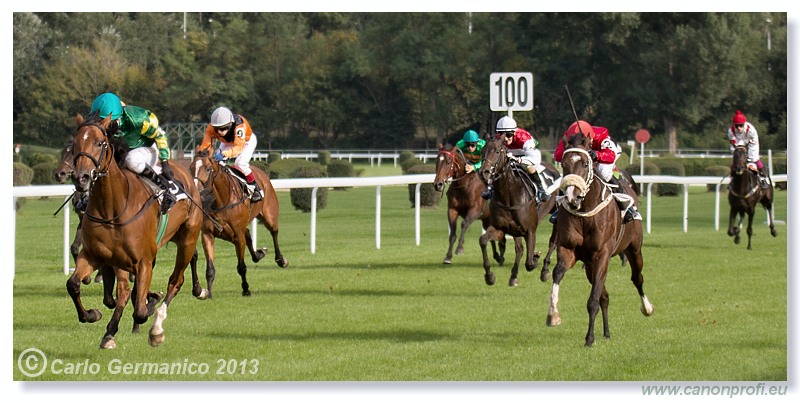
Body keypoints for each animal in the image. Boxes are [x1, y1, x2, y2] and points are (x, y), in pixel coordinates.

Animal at [67, 113, 206, 350]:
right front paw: (93, 315)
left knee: (175, 281)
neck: (112, 207)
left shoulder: (143, 261)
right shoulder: (96, 255)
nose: (81, 178)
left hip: (187, 238)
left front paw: (150, 303)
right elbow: (74, 284)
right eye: (75, 143)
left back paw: (158, 326)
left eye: (100, 143)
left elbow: (140, 309)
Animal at [191, 144, 290, 298]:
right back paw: (259, 254)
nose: (196, 191)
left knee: (274, 232)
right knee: (249, 235)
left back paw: (281, 260)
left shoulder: (238, 235)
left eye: (207, 168)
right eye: (191, 168)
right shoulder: (208, 234)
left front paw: (246, 289)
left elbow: (241, 267)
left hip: (269, 216)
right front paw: (209, 293)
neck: (222, 200)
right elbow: (210, 269)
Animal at [476, 139, 552, 288]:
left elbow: (529, 263)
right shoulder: (500, 228)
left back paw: (544, 270)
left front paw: (535, 258)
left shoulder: (530, 230)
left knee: (553, 241)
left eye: (497, 151)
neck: (509, 195)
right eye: (482, 151)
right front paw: (489, 276)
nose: (483, 172)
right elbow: (483, 241)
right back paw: (513, 276)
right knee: (520, 249)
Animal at [548, 133, 652, 348]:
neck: (584, 211)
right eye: (564, 163)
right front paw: (553, 315)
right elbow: (557, 273)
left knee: (637, 278)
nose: (571, 197)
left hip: (634, 249)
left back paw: (647, 307)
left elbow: (592, 300)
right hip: (589, 265)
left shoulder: (603, 254)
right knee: (605, 295)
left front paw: (589, 338)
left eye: (585, 163)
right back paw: (606, 332)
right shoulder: (569, 250)